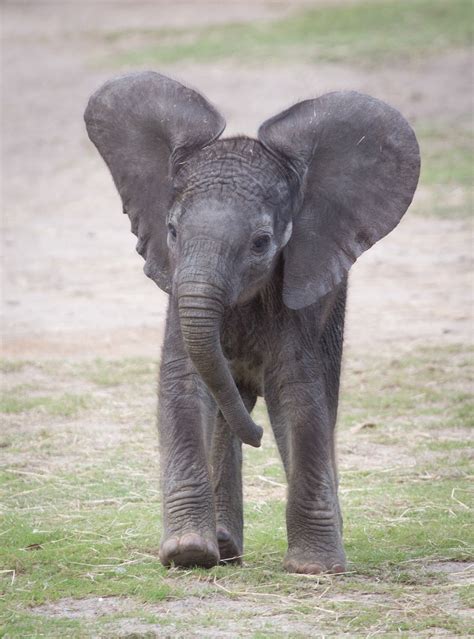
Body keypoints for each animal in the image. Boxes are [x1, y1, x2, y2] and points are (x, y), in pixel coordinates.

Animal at [84, 71, 418, 576]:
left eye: (262, 243)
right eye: (172, 232)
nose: (256, 436)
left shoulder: (297, 297)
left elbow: (299, 397)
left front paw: (315, 567)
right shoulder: (179, 293)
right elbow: (185, 384)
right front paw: (187, 553)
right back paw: (222, 547)